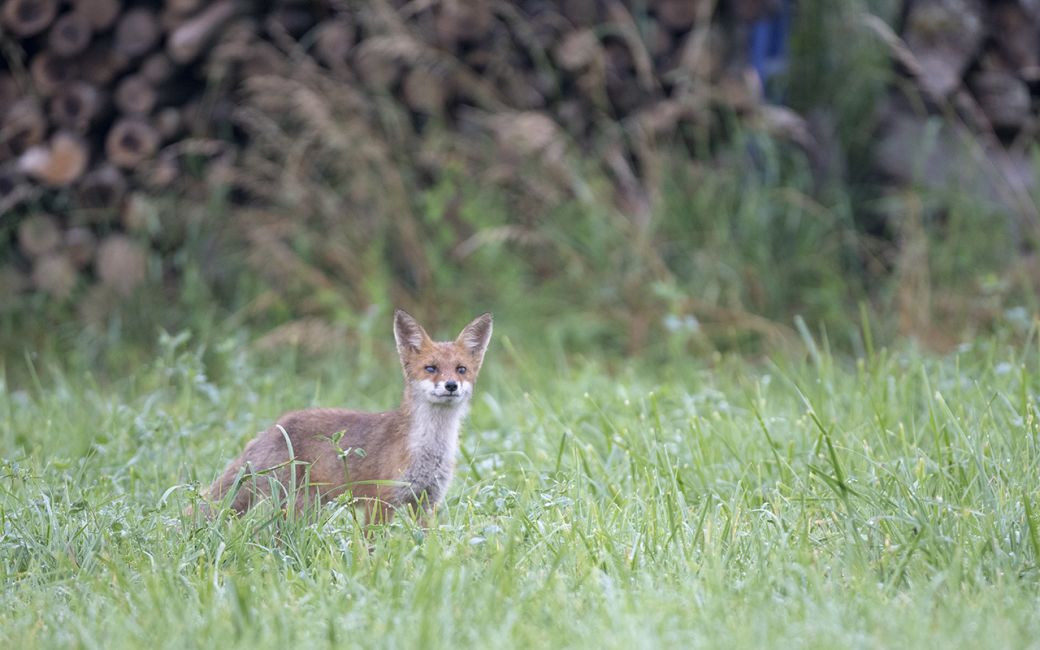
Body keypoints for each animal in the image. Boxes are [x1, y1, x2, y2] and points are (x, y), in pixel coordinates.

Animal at [201, 305, 495, 524]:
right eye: (431, 368)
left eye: (461, 369)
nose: (451, 385)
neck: (428, 451)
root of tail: (276, 425)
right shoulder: (381, 501)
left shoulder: (426, 502)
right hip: (298, 505)